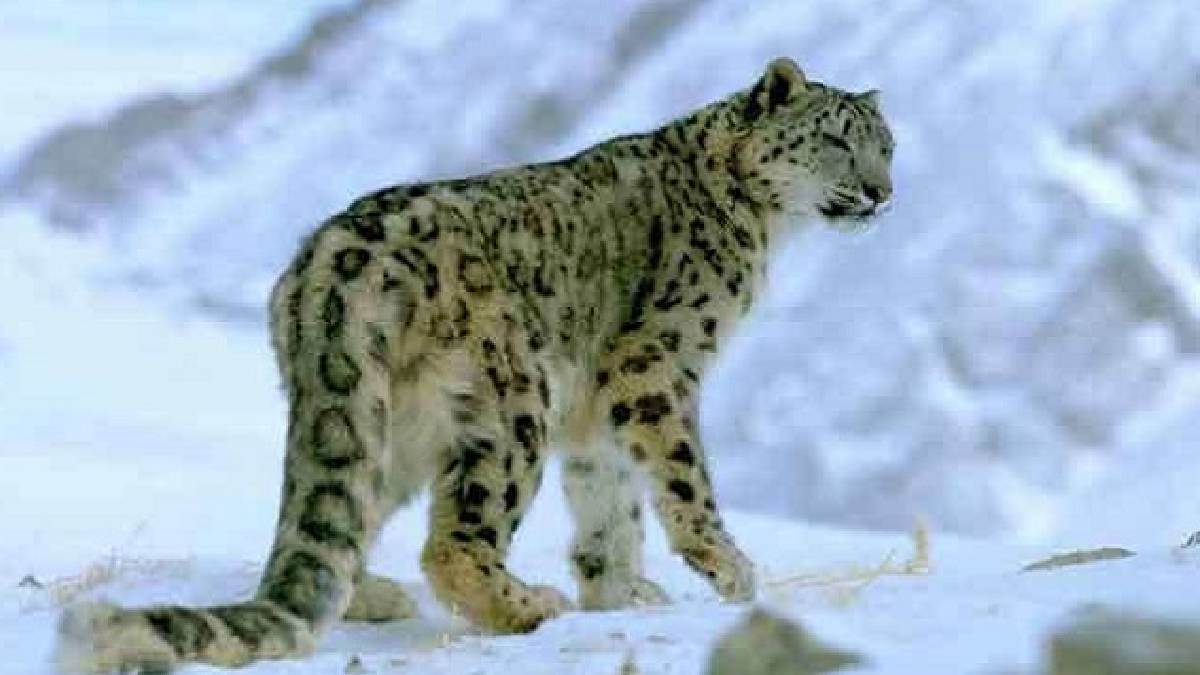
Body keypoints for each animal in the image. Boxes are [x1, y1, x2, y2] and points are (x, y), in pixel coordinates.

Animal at [56, 57, 894, 672]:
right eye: (835, 141)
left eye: (886, 144)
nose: (882, 192)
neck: (762, 226)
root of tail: (332, 268)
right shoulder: (655, 364)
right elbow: (681, 474)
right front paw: (729, 569)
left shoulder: (594, 406)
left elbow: (609, 498)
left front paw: (623, 588)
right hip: (511, 402)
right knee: (455, 540)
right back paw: (526, 603)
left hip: (386, 420)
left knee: (343, 520)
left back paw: (376, 593)